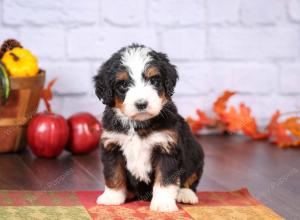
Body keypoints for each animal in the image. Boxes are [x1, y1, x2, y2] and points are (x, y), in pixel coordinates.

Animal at [94, 44, 204, 211]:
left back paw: (186, 194)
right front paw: (112, 197)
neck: (137, 124)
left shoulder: (167, 147)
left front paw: (163, 203)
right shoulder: (112, 145)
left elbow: (165, 179)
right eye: (123, 84)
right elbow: (113, 173)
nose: (141, 104)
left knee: (191, 178)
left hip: (196, 153)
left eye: (154, 81)